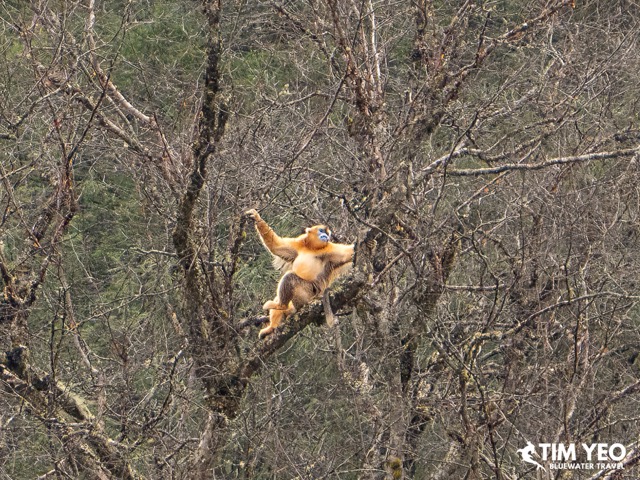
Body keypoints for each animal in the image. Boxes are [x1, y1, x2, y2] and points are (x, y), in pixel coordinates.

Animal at [245, 209, 354, 338]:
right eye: (322, 231)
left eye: (328, 233)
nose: (326, 236)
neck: (312, 248)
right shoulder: (299, 244)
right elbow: (276, 246)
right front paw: (256, 217)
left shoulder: (330, 250)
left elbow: (349, 253)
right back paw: (272, 327)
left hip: (307, 294)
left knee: (290, 277)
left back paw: (281, 306)